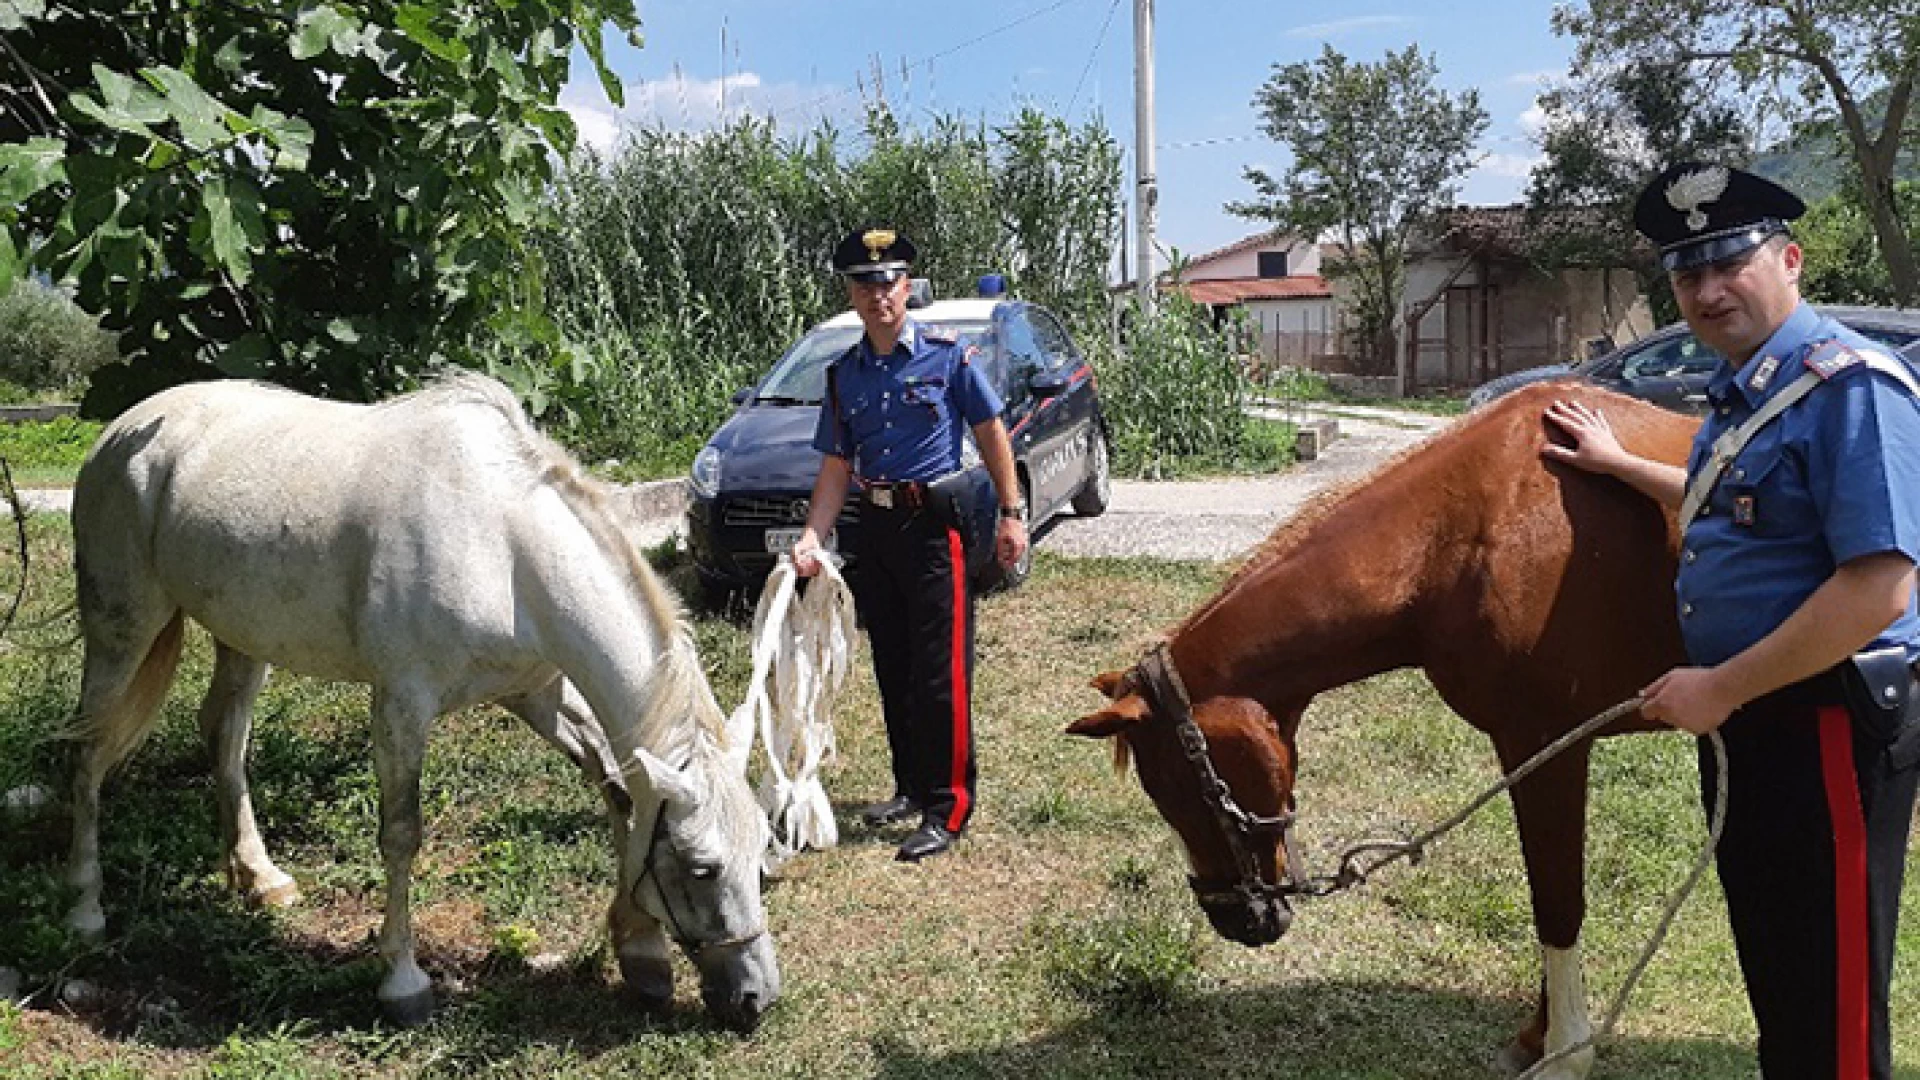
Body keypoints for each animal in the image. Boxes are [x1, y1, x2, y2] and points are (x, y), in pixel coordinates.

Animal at [63, 374, 779, 1030]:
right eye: (702, 868)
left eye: (764, 857)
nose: (755, 999)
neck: (505, 549)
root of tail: (123, 429)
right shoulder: (402, 705)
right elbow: (402, 834)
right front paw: (403, 983)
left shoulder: (537, 693)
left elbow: (620, 791)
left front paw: (642, 954)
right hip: (123, 629)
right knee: (88, 748)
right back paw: (84, 909)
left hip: (242, 637)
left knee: (223, 733)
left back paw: (259, 877)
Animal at [1075, 384, 1704, 1076]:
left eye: (1177, 793)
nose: (1234, 920)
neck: (1468, 535)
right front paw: (1537, 1037)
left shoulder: (1547, 747)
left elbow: (1557, 900)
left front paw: (1565, 1052)